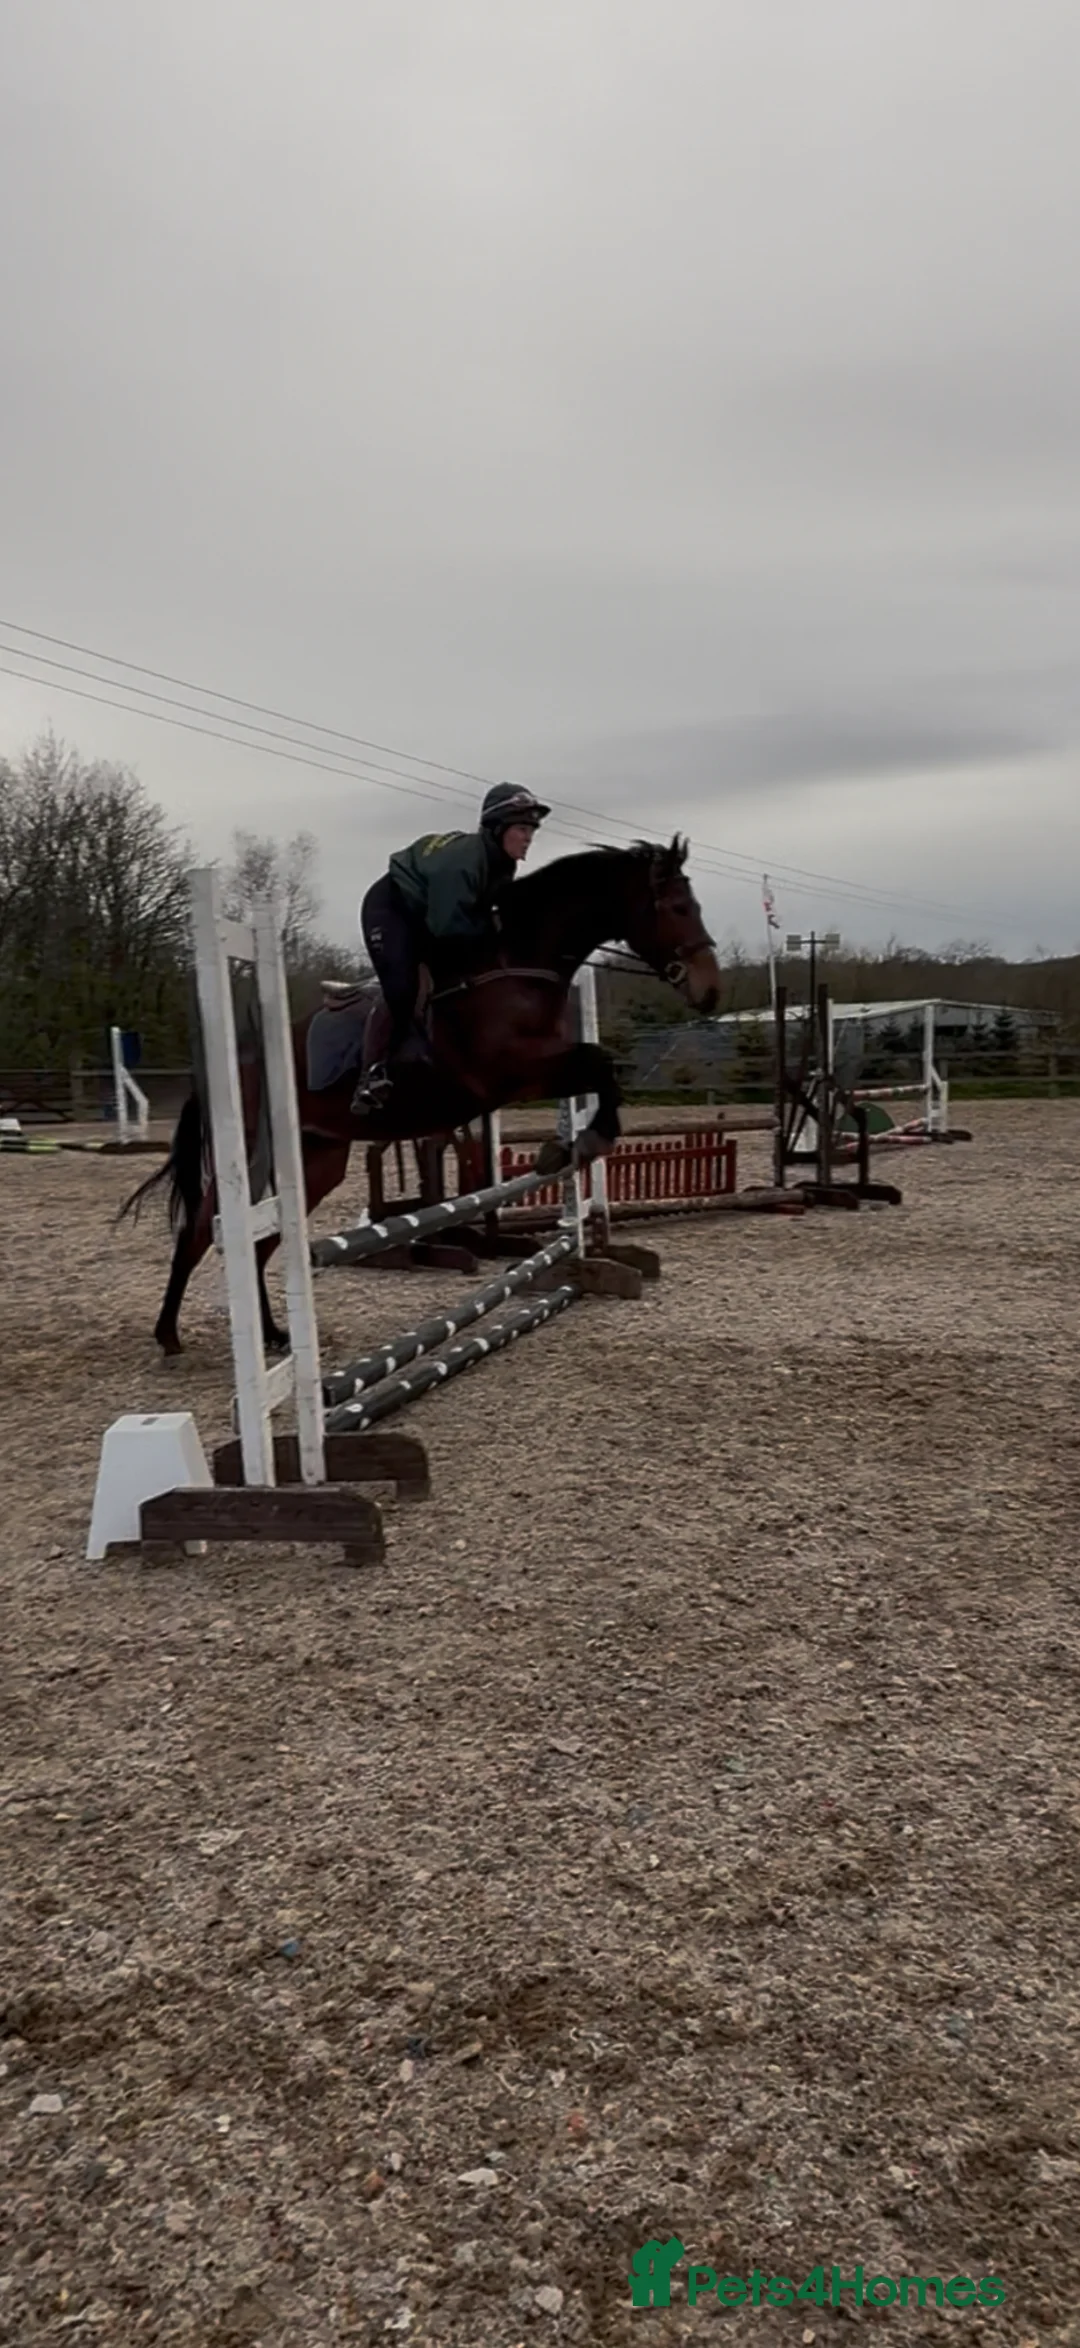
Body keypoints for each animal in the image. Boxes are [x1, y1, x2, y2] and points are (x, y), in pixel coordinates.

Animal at [119, 836, 722, 1355]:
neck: (514, 965)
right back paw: (168, 1334)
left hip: (315, 1162)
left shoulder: (536, 1073)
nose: (709, 990)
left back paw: (272, 1334)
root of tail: (238, 1059)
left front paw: (572, 1147)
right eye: (676, 907)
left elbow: (601, 1067)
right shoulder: (511, 1075)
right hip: (249, 1159)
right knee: (200, 1232)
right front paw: (582, 1143)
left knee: (263, 1245)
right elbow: (600, 1064)